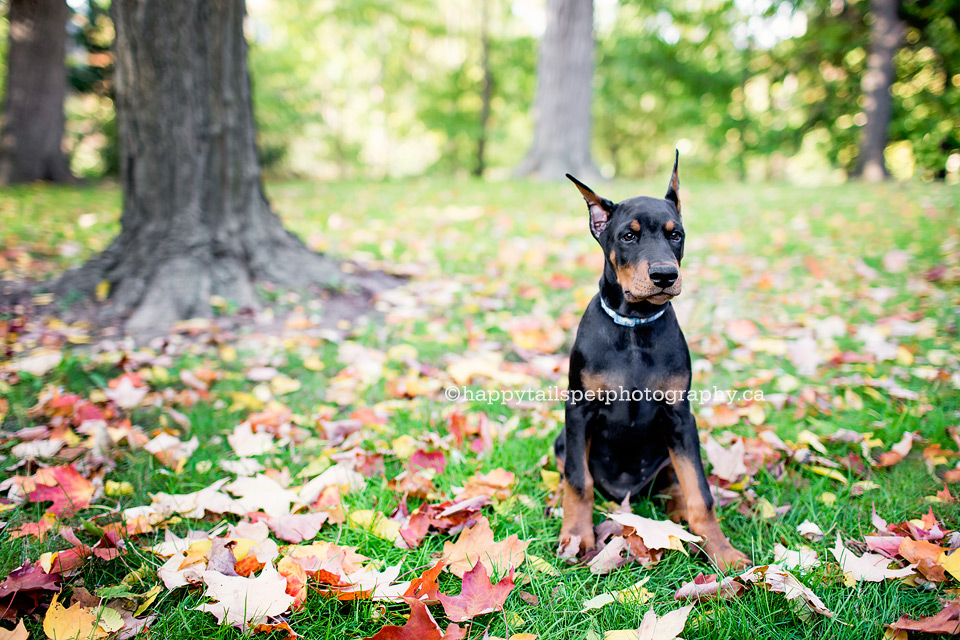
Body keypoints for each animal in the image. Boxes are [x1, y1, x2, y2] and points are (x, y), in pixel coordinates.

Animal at [556, 155, 752, 568]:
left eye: (675, 234)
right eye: (628, 237)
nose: (665, 275)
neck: (635, 326)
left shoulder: (679, 415)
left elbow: (700, 493)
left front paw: (722, 550)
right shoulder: (578, 408)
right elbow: (579, 481)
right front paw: (577, 536)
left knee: (677, 482)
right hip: (563, 440)